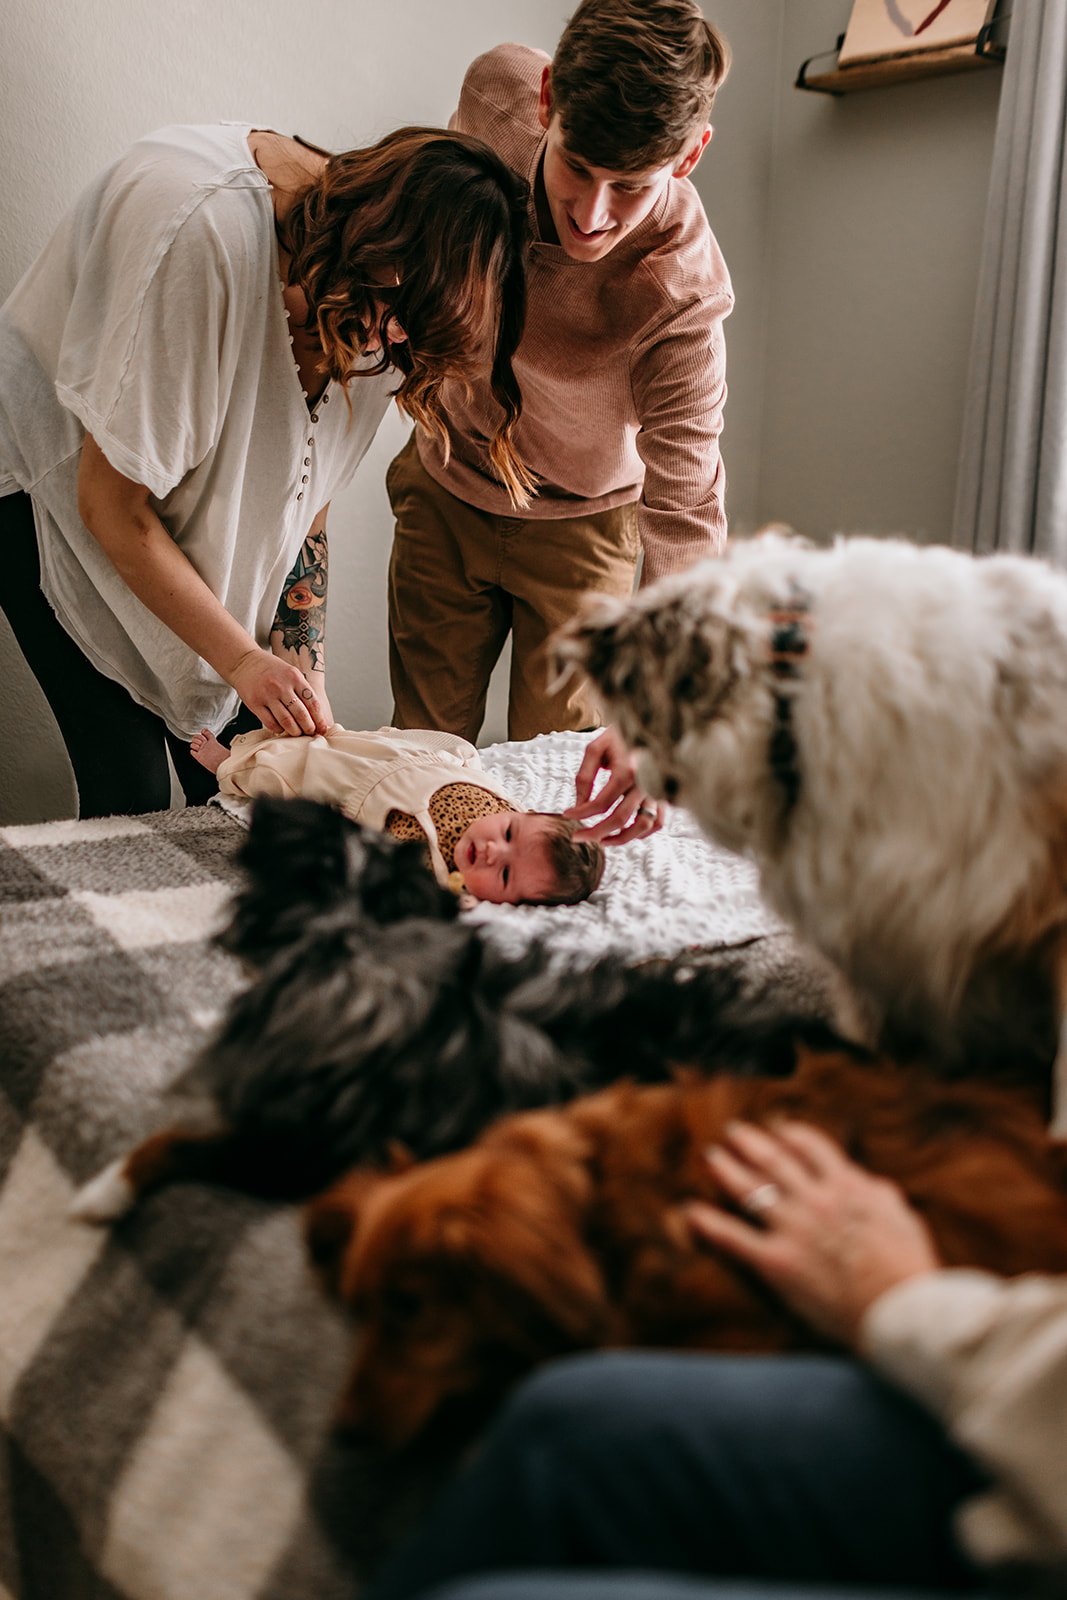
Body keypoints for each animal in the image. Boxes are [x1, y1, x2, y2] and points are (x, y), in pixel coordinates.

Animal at [73, 793, 851, 1216]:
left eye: (508, 865)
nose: (484, 855)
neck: (359, 939)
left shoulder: (300, 1151)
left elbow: (174, 1143)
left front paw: (102, 1193)